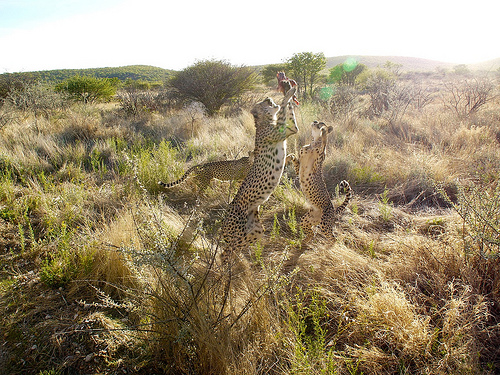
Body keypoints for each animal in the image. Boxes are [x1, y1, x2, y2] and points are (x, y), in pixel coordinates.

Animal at [222, 86, 298, 262]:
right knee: (226, 252)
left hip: (255, 230)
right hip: (239, 232)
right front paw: (289, 92)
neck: (264, 122)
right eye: (262, 102)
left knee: (233, 249)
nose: (268, 98)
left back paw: (239, 263)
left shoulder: (288, 129)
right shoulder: (285, 129)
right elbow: (284, 109)